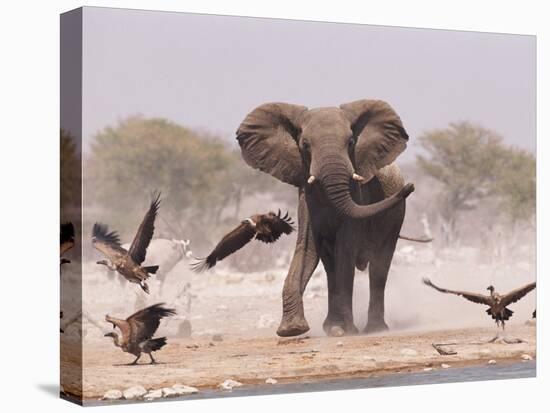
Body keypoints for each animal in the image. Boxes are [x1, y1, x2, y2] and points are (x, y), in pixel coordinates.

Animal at [236, 99, 414, 334]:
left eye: (351, 142)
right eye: (305, 144)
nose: (411, 186)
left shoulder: (356, 195)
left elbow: (345, 249)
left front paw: (347, 331)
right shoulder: (306, 197)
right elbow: (307, 247)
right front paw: (292, 330)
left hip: (395, 217)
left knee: (379, 264)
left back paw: (375, 329)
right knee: (331, 265)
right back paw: (332, 326)